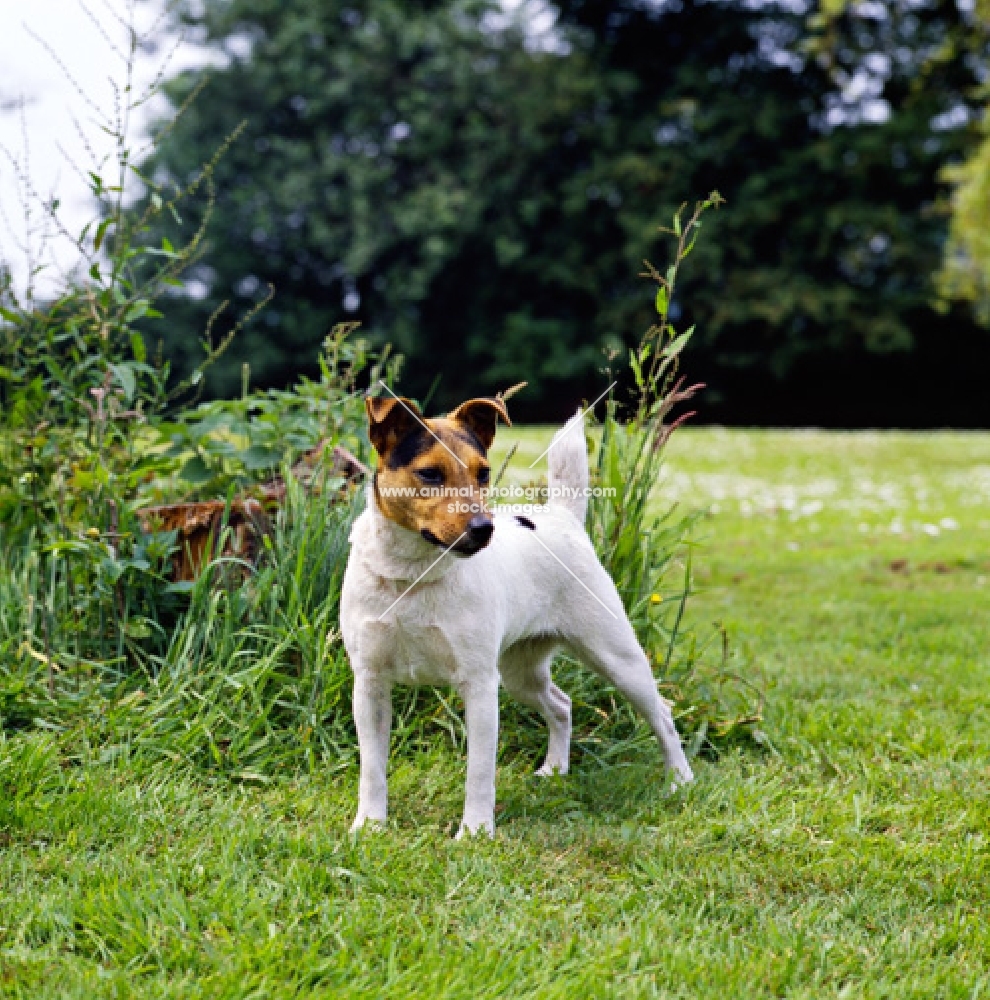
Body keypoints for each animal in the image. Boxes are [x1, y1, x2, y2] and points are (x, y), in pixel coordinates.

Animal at [340, 394, 696, 840]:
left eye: (483, 472)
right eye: (430, 473)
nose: (483, 528)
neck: (413, 576)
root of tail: (561, 517)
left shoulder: (479, 685)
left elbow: (478, 772)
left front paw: (474, 833)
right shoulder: (369, 684)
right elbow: (372, 768)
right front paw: (369, 825)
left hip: (617, 659)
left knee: (661, 713)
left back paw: (680, 781)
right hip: (520, 672)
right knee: (561, 705)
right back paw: (555, 770)